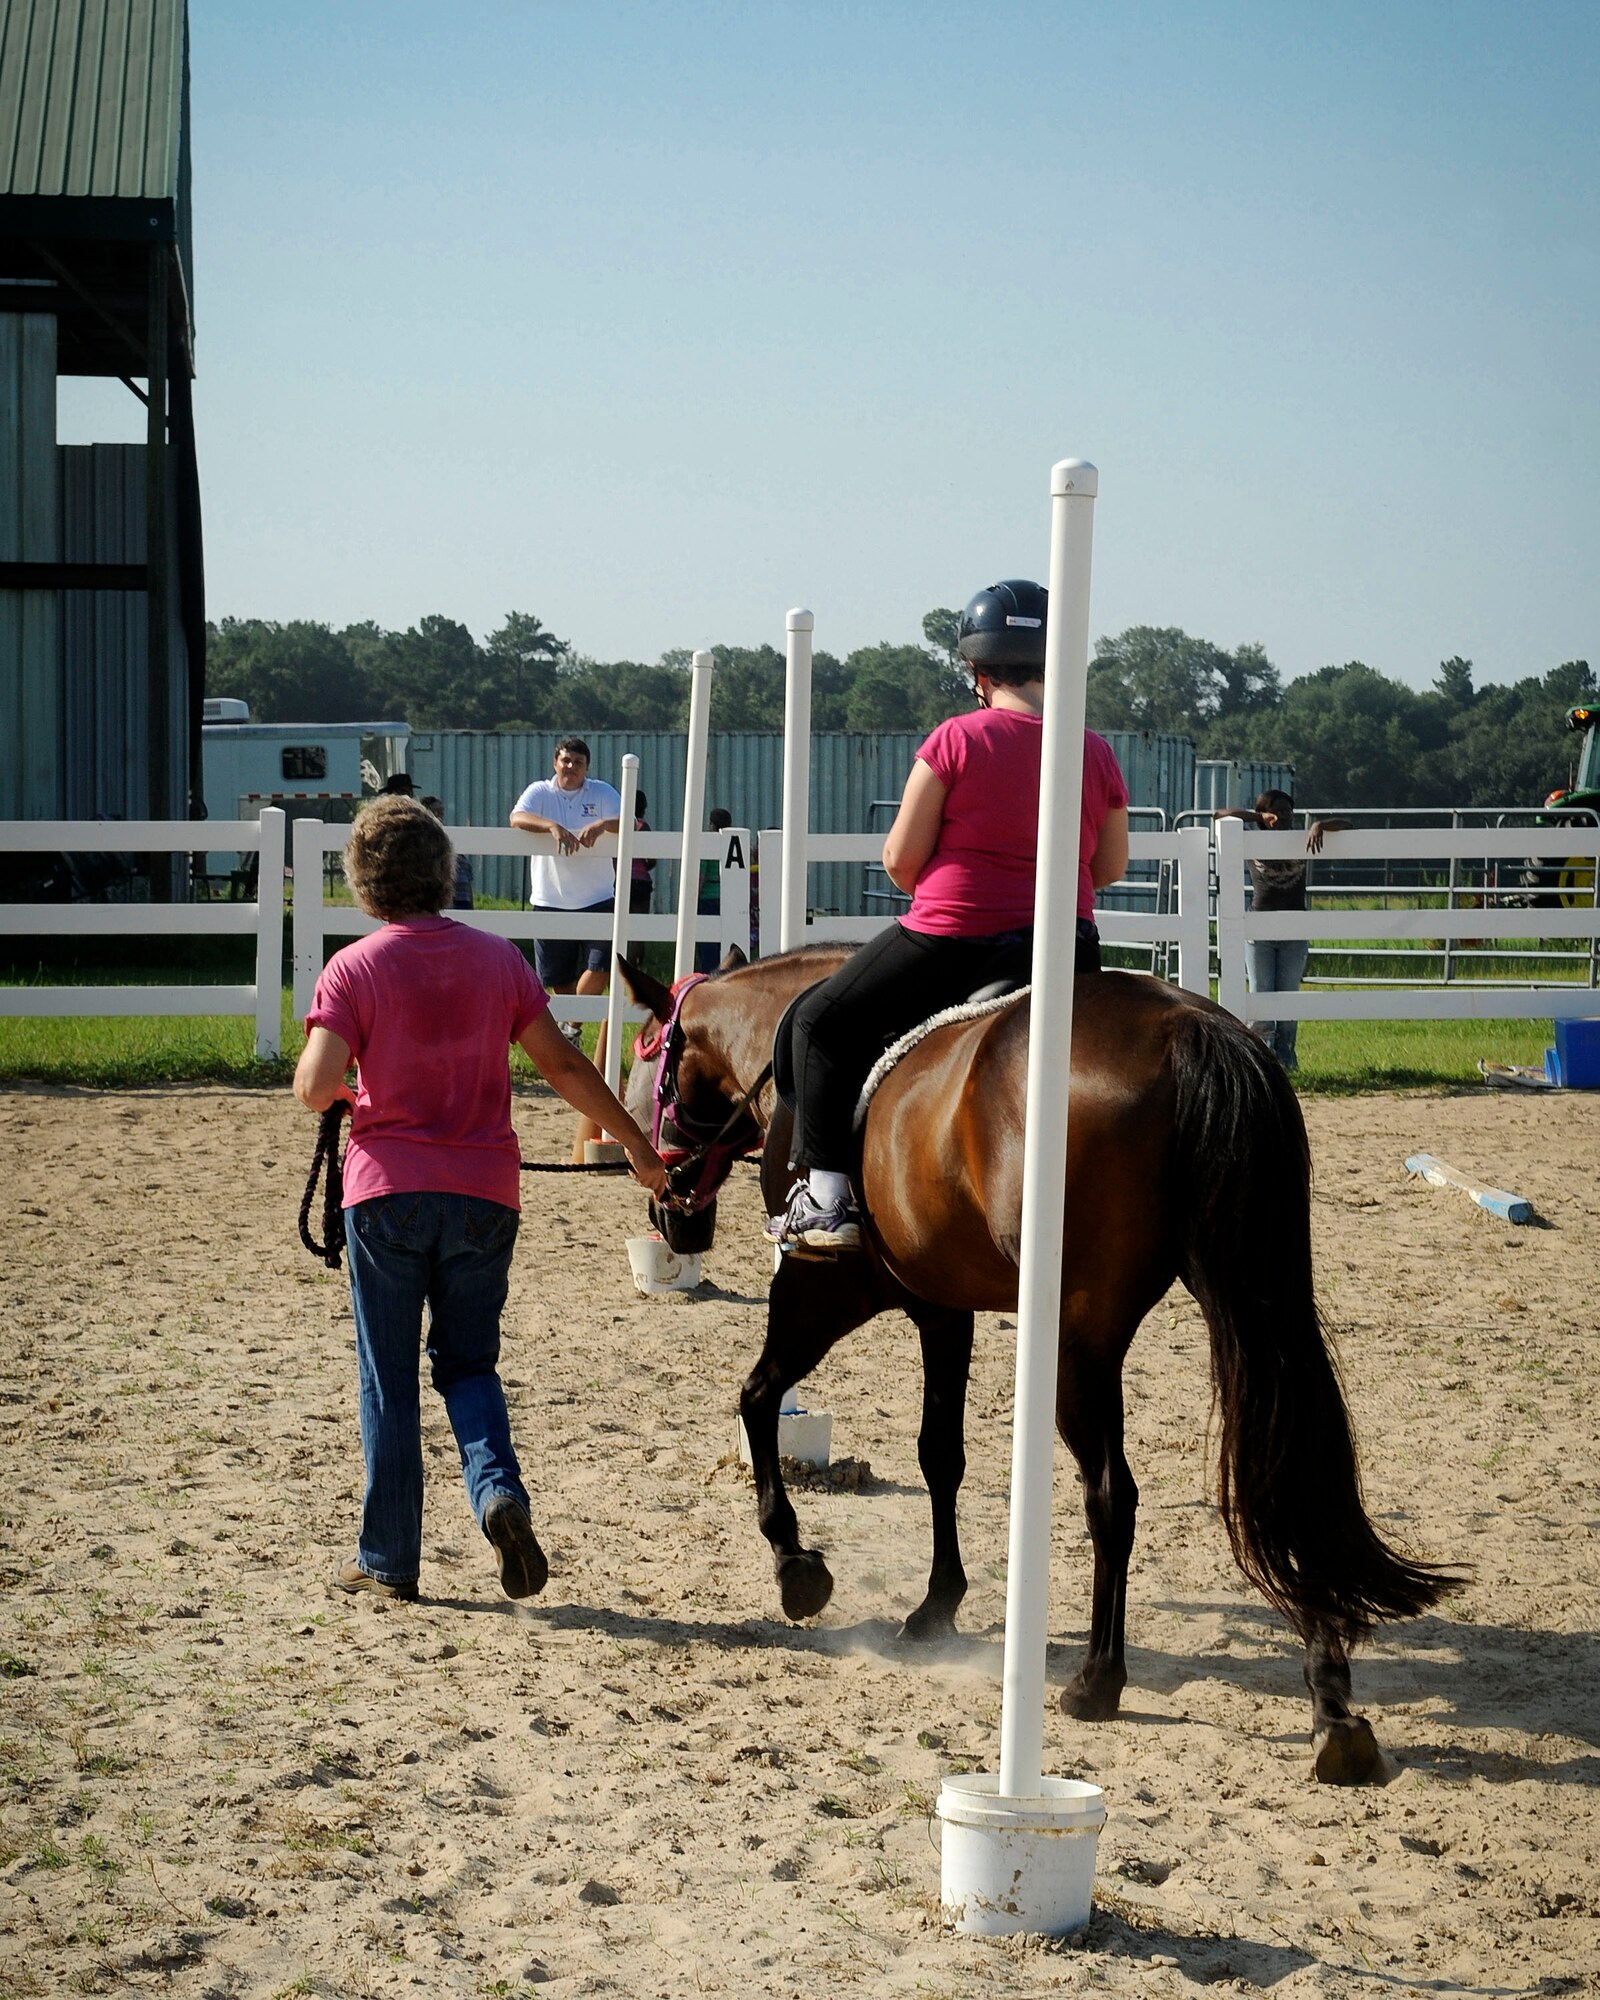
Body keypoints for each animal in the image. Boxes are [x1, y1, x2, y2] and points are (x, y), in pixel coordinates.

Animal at [620, 944, 1456, 1792]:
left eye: (651, 1067)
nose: (669, 1211)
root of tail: (1191, 1026)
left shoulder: (825, 1286)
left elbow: (757, 1397)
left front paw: (796, 1565)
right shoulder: (942, 1307)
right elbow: (940, 1455)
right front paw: (937, 1605)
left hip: (1076, 1342)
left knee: (1113, 1495)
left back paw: (1098, 1679)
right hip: (1248, 1302)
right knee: (1288, 1477)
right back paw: (1332, 1709)